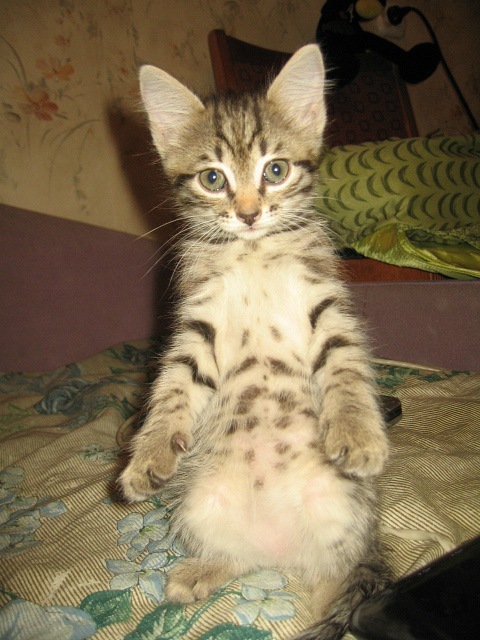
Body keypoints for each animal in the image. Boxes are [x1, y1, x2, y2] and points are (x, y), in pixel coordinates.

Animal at [119, 43, 390, 640]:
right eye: (212, 179)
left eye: (276, 170)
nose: (247, 213)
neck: (252, 251)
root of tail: (279, 547)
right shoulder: (198, 321)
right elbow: (173, 385)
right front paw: (148, 452)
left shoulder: (324, 302)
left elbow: (345, 366)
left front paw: (358, 432)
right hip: (203, 503)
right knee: (246, 560)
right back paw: (202, 572)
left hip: (343, 512)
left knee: (341, 575)